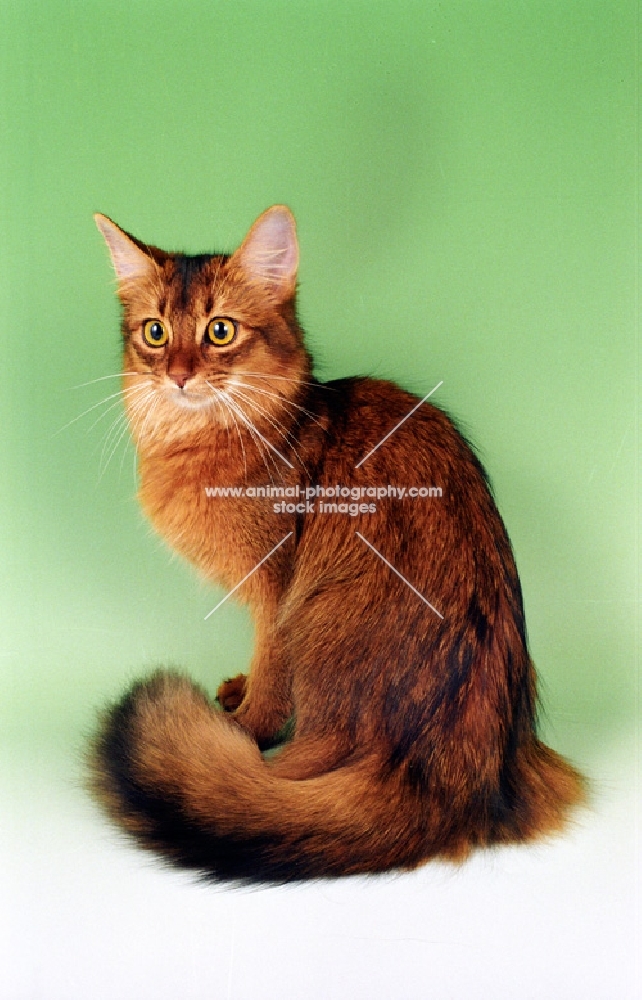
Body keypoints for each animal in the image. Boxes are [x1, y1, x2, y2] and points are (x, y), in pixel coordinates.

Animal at [90, 203, 584, 884]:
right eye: (156, 333)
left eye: (220, 331)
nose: (179, 376)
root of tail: (453, 782)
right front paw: (239, 691)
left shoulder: (275, 590)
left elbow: (272, 676)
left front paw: (246, 723)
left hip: (315, 614)